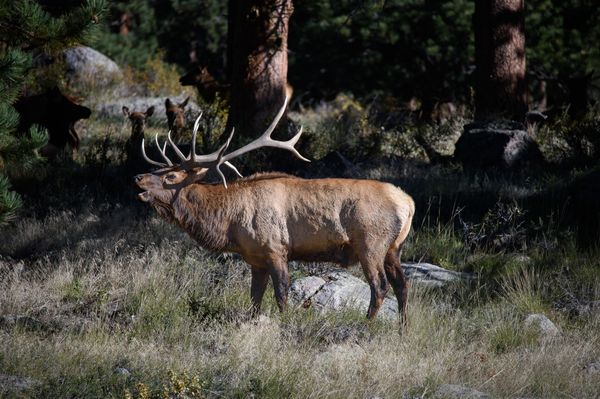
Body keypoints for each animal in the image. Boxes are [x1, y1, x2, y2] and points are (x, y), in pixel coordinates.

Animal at [135, 97, 414, 324]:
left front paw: (285, 322)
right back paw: (402, 328)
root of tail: (408, 203)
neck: (229, 225)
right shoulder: (255, 258)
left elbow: (281, 294)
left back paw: (367, 324)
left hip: (370, 243)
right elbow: (254, 299)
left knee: (380, 286)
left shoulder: (276, 248)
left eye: (171, 176)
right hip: (393, 248)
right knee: (402, 285)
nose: (138, 177)